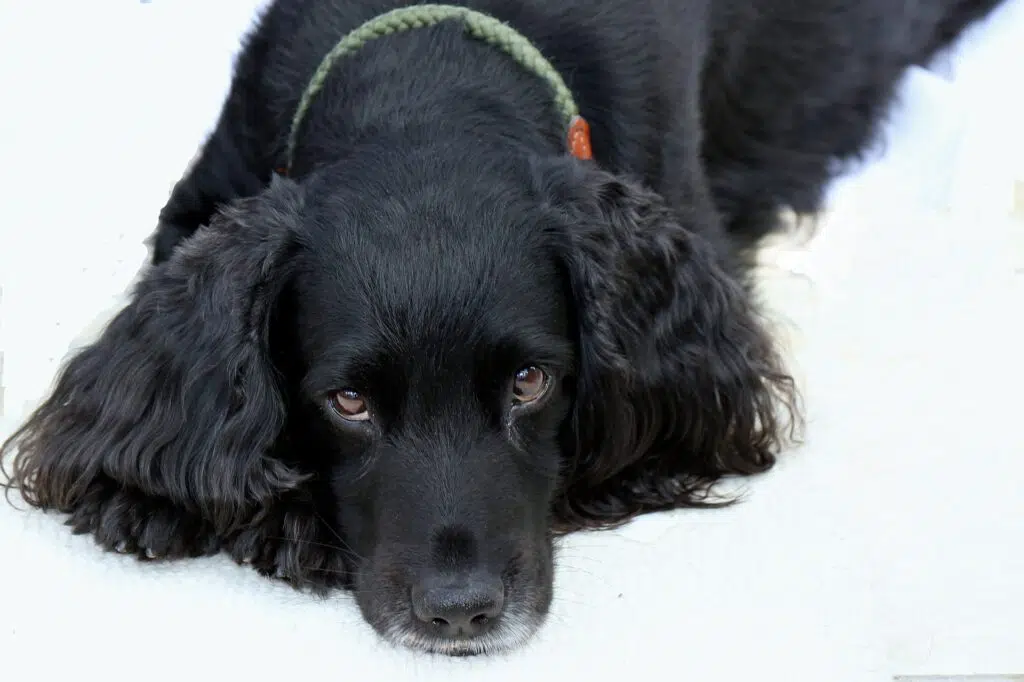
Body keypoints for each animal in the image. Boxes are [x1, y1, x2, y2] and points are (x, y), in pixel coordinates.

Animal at [2, 0, 1007, 655]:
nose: (459, 612)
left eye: (531, 382)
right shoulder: (210, 191)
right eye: (348, 400)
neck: (432, 78)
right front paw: (157, 497)